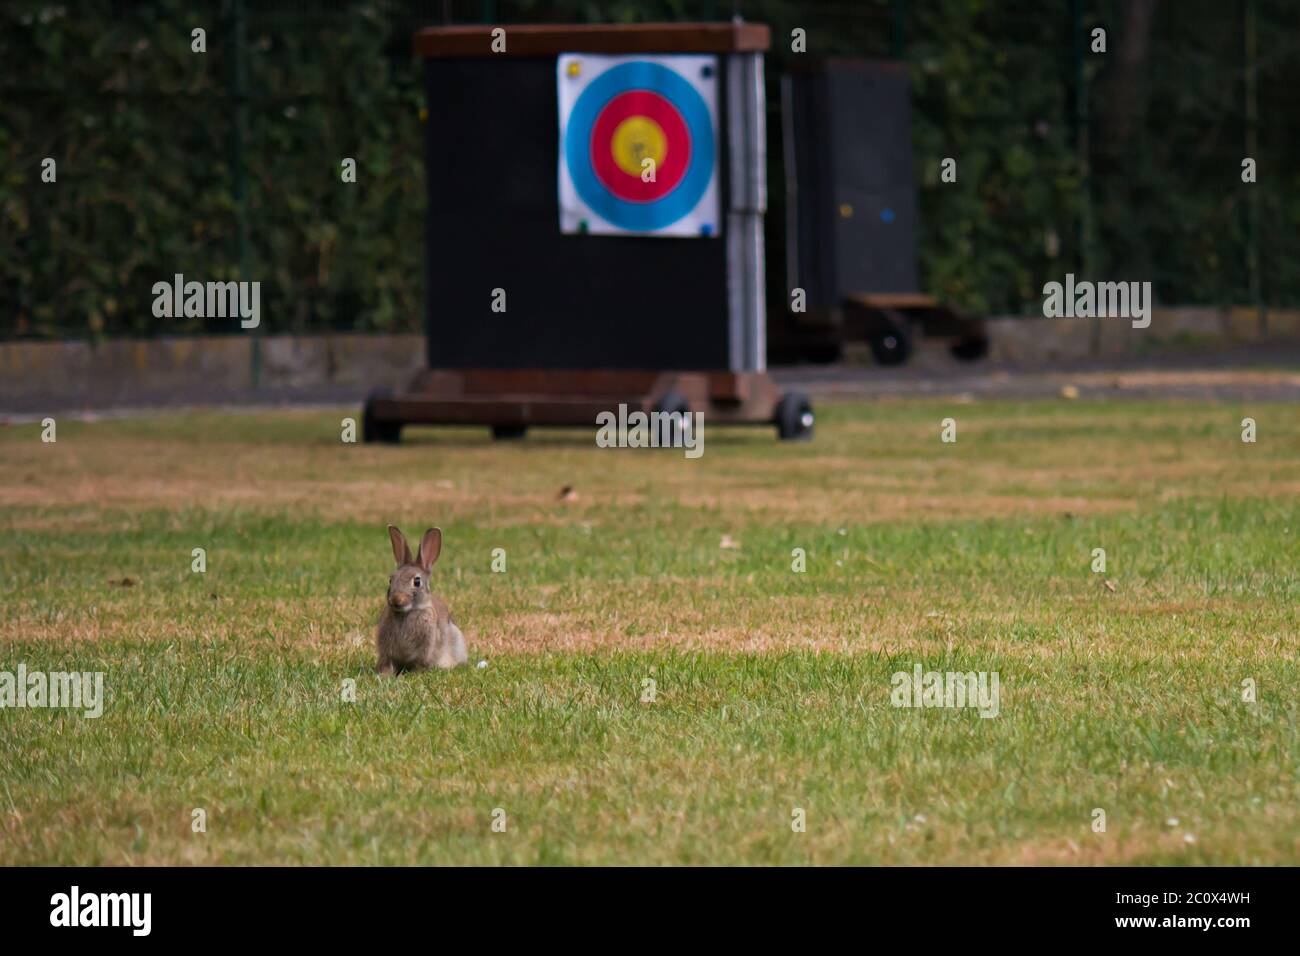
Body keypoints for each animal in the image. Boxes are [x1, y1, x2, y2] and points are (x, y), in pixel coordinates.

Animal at [377, 528, 467, 676]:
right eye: (391, 579)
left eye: (417, 581)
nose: (396, 599)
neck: (407, 612)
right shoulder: (386, 651)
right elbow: (387, 663)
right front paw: (384, 675)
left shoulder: (425, 650)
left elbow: (419, 664)